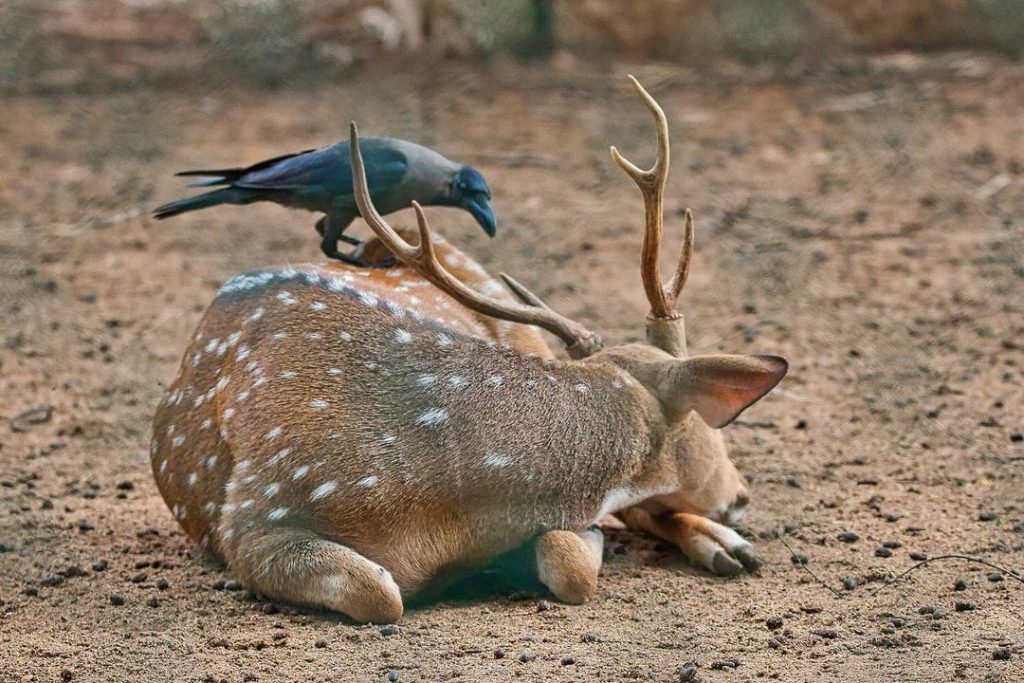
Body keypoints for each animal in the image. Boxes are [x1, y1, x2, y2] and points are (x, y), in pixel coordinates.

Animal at [149, 77, 782, 622]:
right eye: (708, 425)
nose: (741, 496)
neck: (444, 511)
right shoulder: (258, 515)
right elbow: (383, 594)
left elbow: (573, 556)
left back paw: (728, 546)